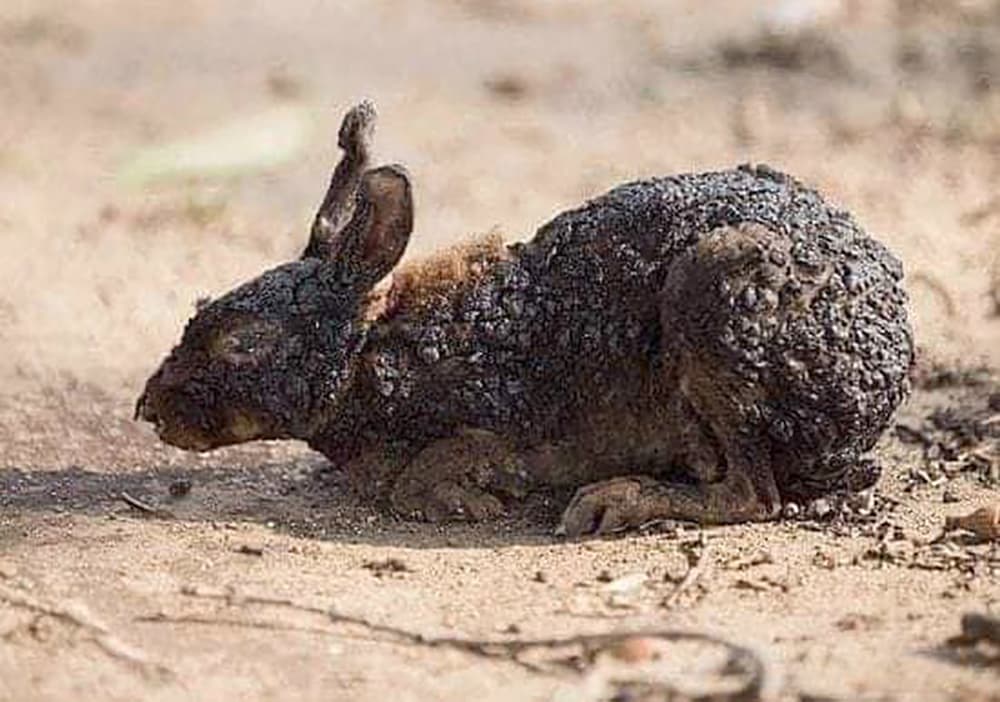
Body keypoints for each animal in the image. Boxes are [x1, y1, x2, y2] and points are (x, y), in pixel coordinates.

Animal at [135, 100, 916, 540]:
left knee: (754, 495)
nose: (149, 409)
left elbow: (431, 472)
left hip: (716, 288)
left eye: (242, 343)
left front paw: (469, 501)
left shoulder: (497, 425)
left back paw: (615, 502)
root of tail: (886, 379)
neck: (373, 354)